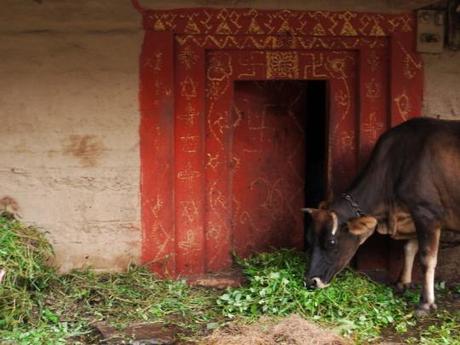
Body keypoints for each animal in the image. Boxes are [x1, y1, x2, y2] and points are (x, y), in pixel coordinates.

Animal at [304, 117, 458, 314]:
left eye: (331, 242)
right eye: (309, 238)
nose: (311, 282)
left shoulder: (426, 213)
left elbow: (427, 259)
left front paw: (426, 303)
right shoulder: (414, 214)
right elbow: (409, 248)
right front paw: (402, 283)